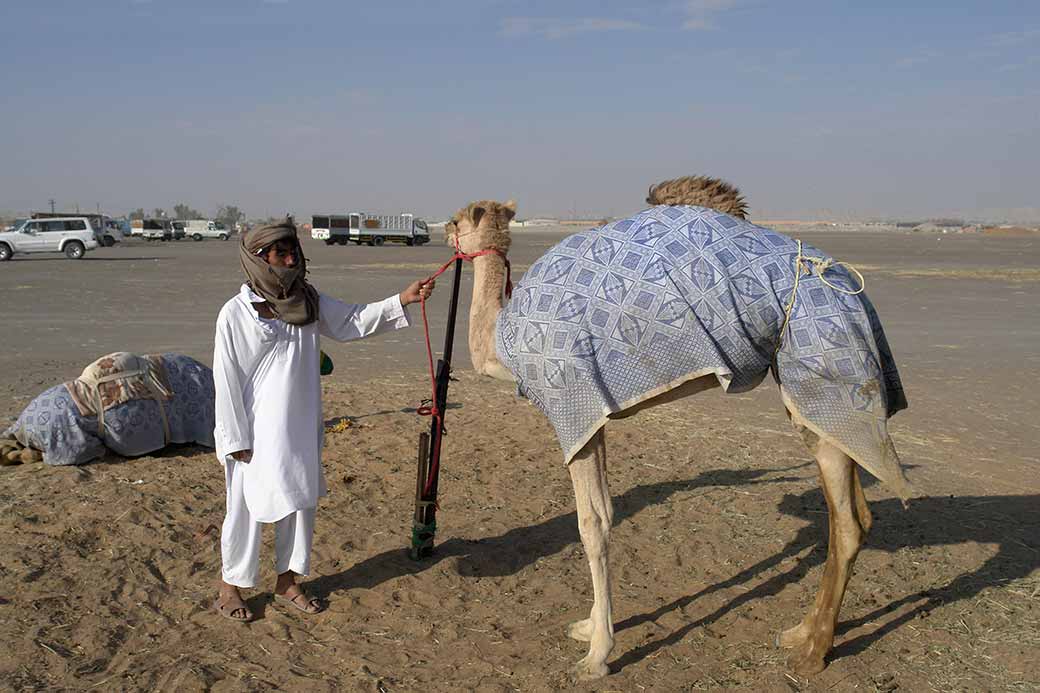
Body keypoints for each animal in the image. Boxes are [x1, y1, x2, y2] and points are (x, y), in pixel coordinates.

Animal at [447, 175, 911, 678]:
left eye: (455, 220)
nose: (445, 235)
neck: (503, 344)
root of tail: (850, 285)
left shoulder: (573, 406)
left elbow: (591, 524)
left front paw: (597, 656)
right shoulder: (596, 416)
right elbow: (607, 511)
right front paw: (589, 628)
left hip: (827, 373)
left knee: (847, 522)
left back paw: (812, 654)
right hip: (813, 403)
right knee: (853, 509)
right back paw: (799, 634)